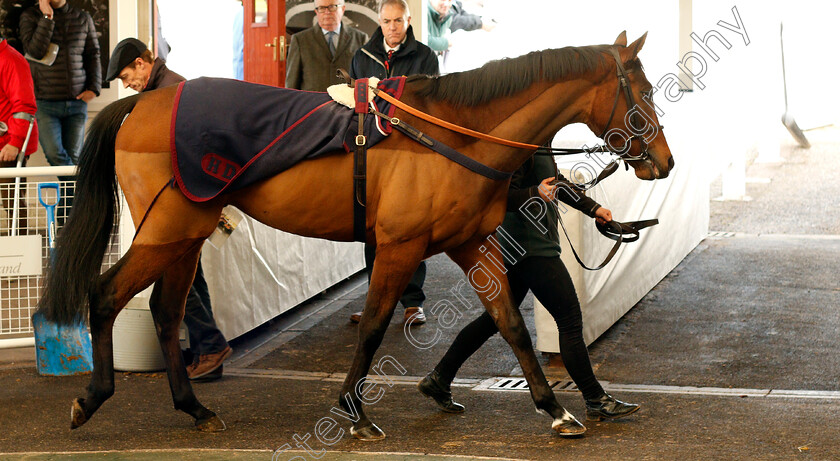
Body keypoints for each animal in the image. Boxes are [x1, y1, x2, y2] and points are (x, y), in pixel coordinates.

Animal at [41, 32, 676, 438]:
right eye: (642, 93)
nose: (664, 163)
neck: (457, 133)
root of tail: (142, 102)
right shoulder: (399, 246)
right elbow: (373, 326)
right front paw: (354, 410)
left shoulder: (469, 243)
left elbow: (509, 323)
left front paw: (556, 410)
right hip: (167, 231)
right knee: (106, 295)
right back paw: (90, 399)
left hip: (186, 234)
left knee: (166, 311)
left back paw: (193, 409)